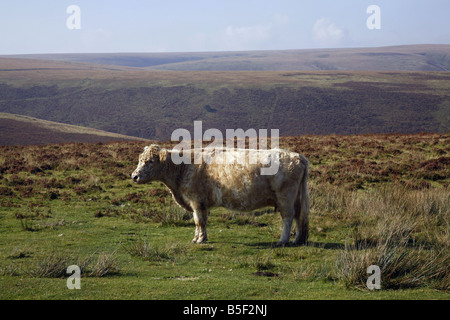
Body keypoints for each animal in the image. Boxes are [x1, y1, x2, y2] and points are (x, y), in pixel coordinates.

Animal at [131, 144, 310, 246]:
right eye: (140, 159)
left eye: (150, 161)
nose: (134, 176)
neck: (183, 167)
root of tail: (298, 156)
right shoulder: (202, 204)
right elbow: (201, 222)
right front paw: (199, 238)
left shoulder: (196, 201)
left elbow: (198, 221)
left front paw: (199, 240)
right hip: (296, 198)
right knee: (299, 216)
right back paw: (297, 240)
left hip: (285, 198)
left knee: (288, 217)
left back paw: (283, 240)